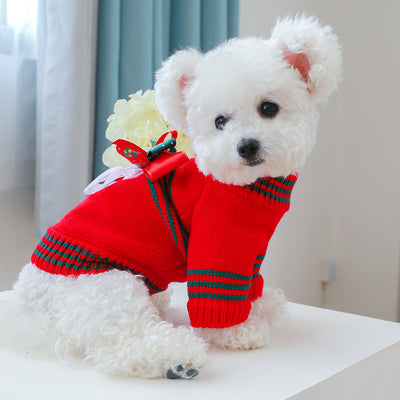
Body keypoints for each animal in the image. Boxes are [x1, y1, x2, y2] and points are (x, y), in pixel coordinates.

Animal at [1, 15, 342, 378]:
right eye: (220, 122)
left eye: (269, 108)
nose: (246, 146)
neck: (251, 186)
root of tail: (29, 305)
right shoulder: (218, 238)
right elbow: (218, 290)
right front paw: (237, 330)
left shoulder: (254, 247)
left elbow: (251, 282)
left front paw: (261, 305)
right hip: (106, 286)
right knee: (122, 340)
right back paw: (176, 358)